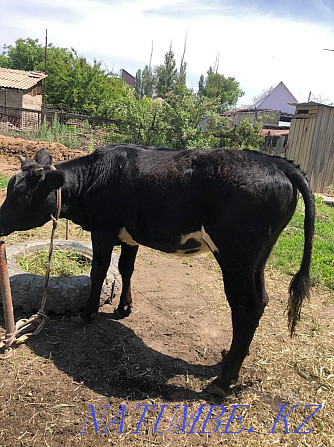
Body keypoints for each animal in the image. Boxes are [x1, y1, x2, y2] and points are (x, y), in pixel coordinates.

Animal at [0, 144, 314, 396]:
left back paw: (221, 383)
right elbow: (126, 268)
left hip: (236, 255)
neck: (94, 179)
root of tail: (276, 162)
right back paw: (228, 361)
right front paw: (124, 307)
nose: (0, 223)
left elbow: (99, 271)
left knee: (246, 307)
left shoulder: (103, 229)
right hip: (257, 258)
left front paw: (87, 314)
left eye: (20, 195)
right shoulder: (129, 235)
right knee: (262, 300)